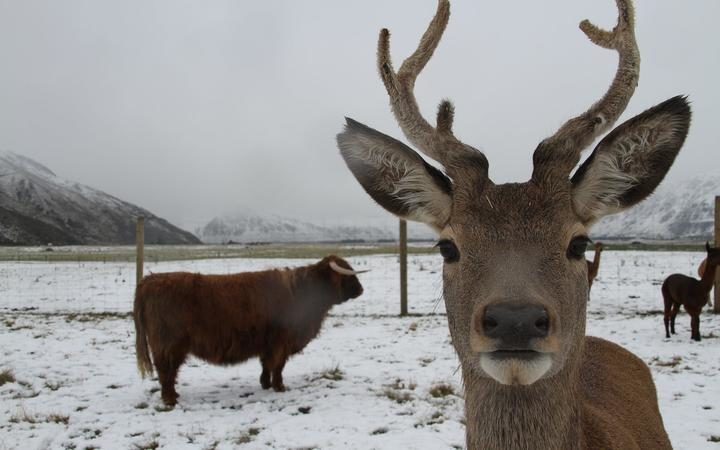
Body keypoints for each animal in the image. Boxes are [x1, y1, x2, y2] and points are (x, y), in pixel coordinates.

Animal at [133, 255, 366, 405]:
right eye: (348, 276)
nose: (361, 289)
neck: (304, 294)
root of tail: (148, 281)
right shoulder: (281, 341)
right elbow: (278, 366)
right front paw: (280, 387)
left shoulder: (267, 342)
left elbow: (266, 365)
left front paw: (265, 384)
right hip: (169, 345)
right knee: (167, 371)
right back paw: (171, 399)